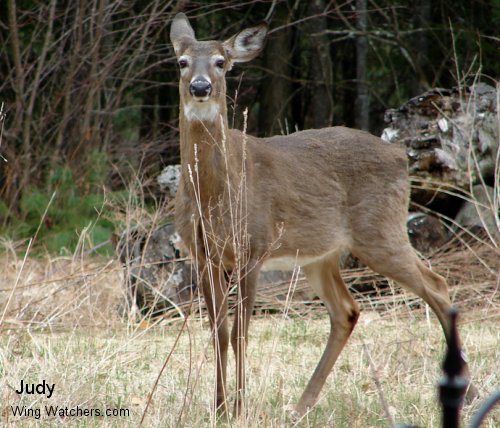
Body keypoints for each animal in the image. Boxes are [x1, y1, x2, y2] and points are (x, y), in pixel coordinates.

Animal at [170, 12, 470, 418]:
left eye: (221, 62)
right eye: (182, 62)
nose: (200, 87)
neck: (214, 195)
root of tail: (400, 155)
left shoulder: (253, 246)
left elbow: (241, 332)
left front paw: (240, 408)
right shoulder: (203, 255)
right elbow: (219, 331)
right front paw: (219, 409)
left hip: (380, 230)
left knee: (437, 286)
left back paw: (465, 391)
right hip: (320, 255)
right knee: (347, 309)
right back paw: (301, 406)